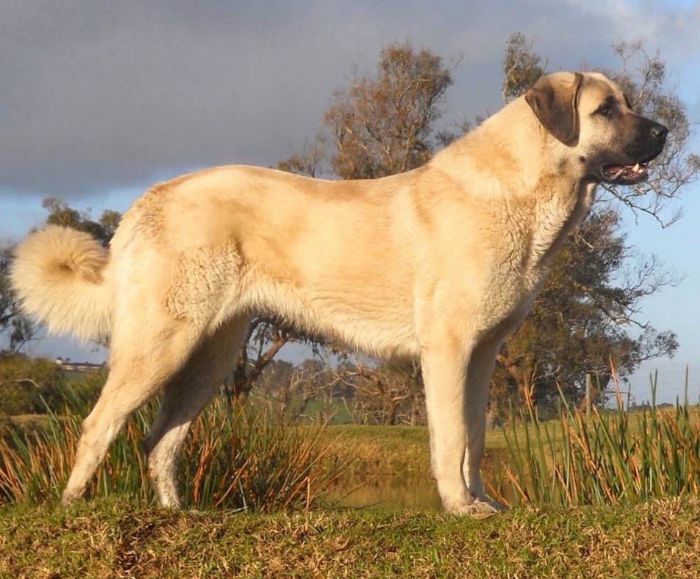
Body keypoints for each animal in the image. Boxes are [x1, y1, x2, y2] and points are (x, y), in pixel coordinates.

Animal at [12, 73, 668, 516]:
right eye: (606, 109)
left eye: (627, 103)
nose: (665, 130)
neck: (526, 188)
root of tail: (151, 197)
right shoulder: (447, 350)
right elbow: (450, 437)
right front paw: (459, 508)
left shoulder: (482, 356)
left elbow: (476, 439)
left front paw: (483, 503)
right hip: (161, 343)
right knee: (99, 425)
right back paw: (71, 506)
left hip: (210, 357)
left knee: (160, 438)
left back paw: (180, 513)